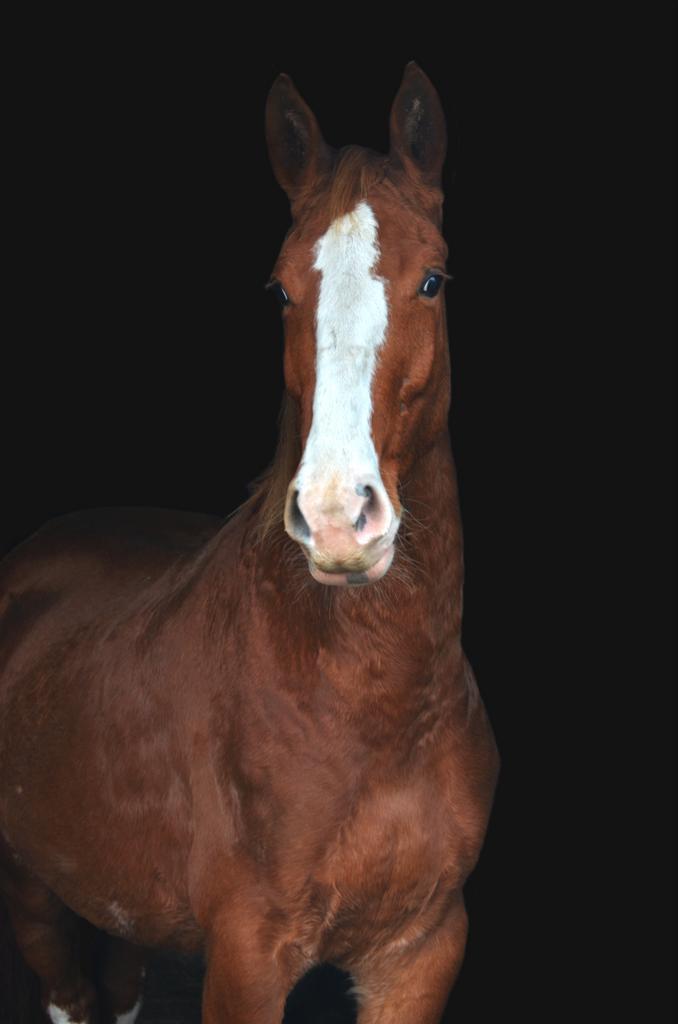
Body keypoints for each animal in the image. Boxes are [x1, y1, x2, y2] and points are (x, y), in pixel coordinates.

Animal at [0, 63, 499, 1023]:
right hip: (34, 890)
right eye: (279, 291)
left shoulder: (423, 951)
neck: (372, 709)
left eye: (433, 279)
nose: (339, 516)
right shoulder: (246, 959)